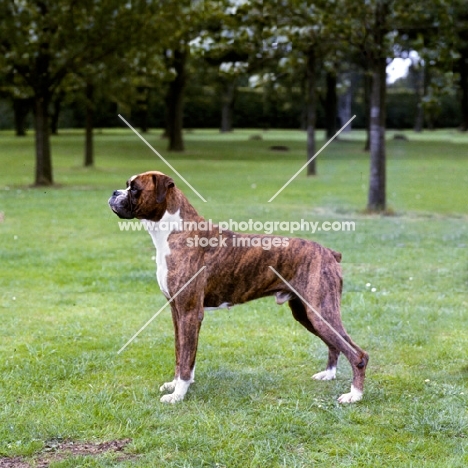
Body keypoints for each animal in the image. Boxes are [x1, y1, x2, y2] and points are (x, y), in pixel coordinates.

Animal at [109, 171, 370, 402]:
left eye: (134, 189)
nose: (114, 193)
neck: (175, 231)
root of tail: (329, 252)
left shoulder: (190, 313)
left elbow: (185, 358)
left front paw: (178, 395)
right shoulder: (177, 312)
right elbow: (181, 353)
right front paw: (176, 385)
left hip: (320, 313)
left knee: (358, 354)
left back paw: (354, 396)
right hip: (306, 313)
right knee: (336, 345)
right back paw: (329, 374)